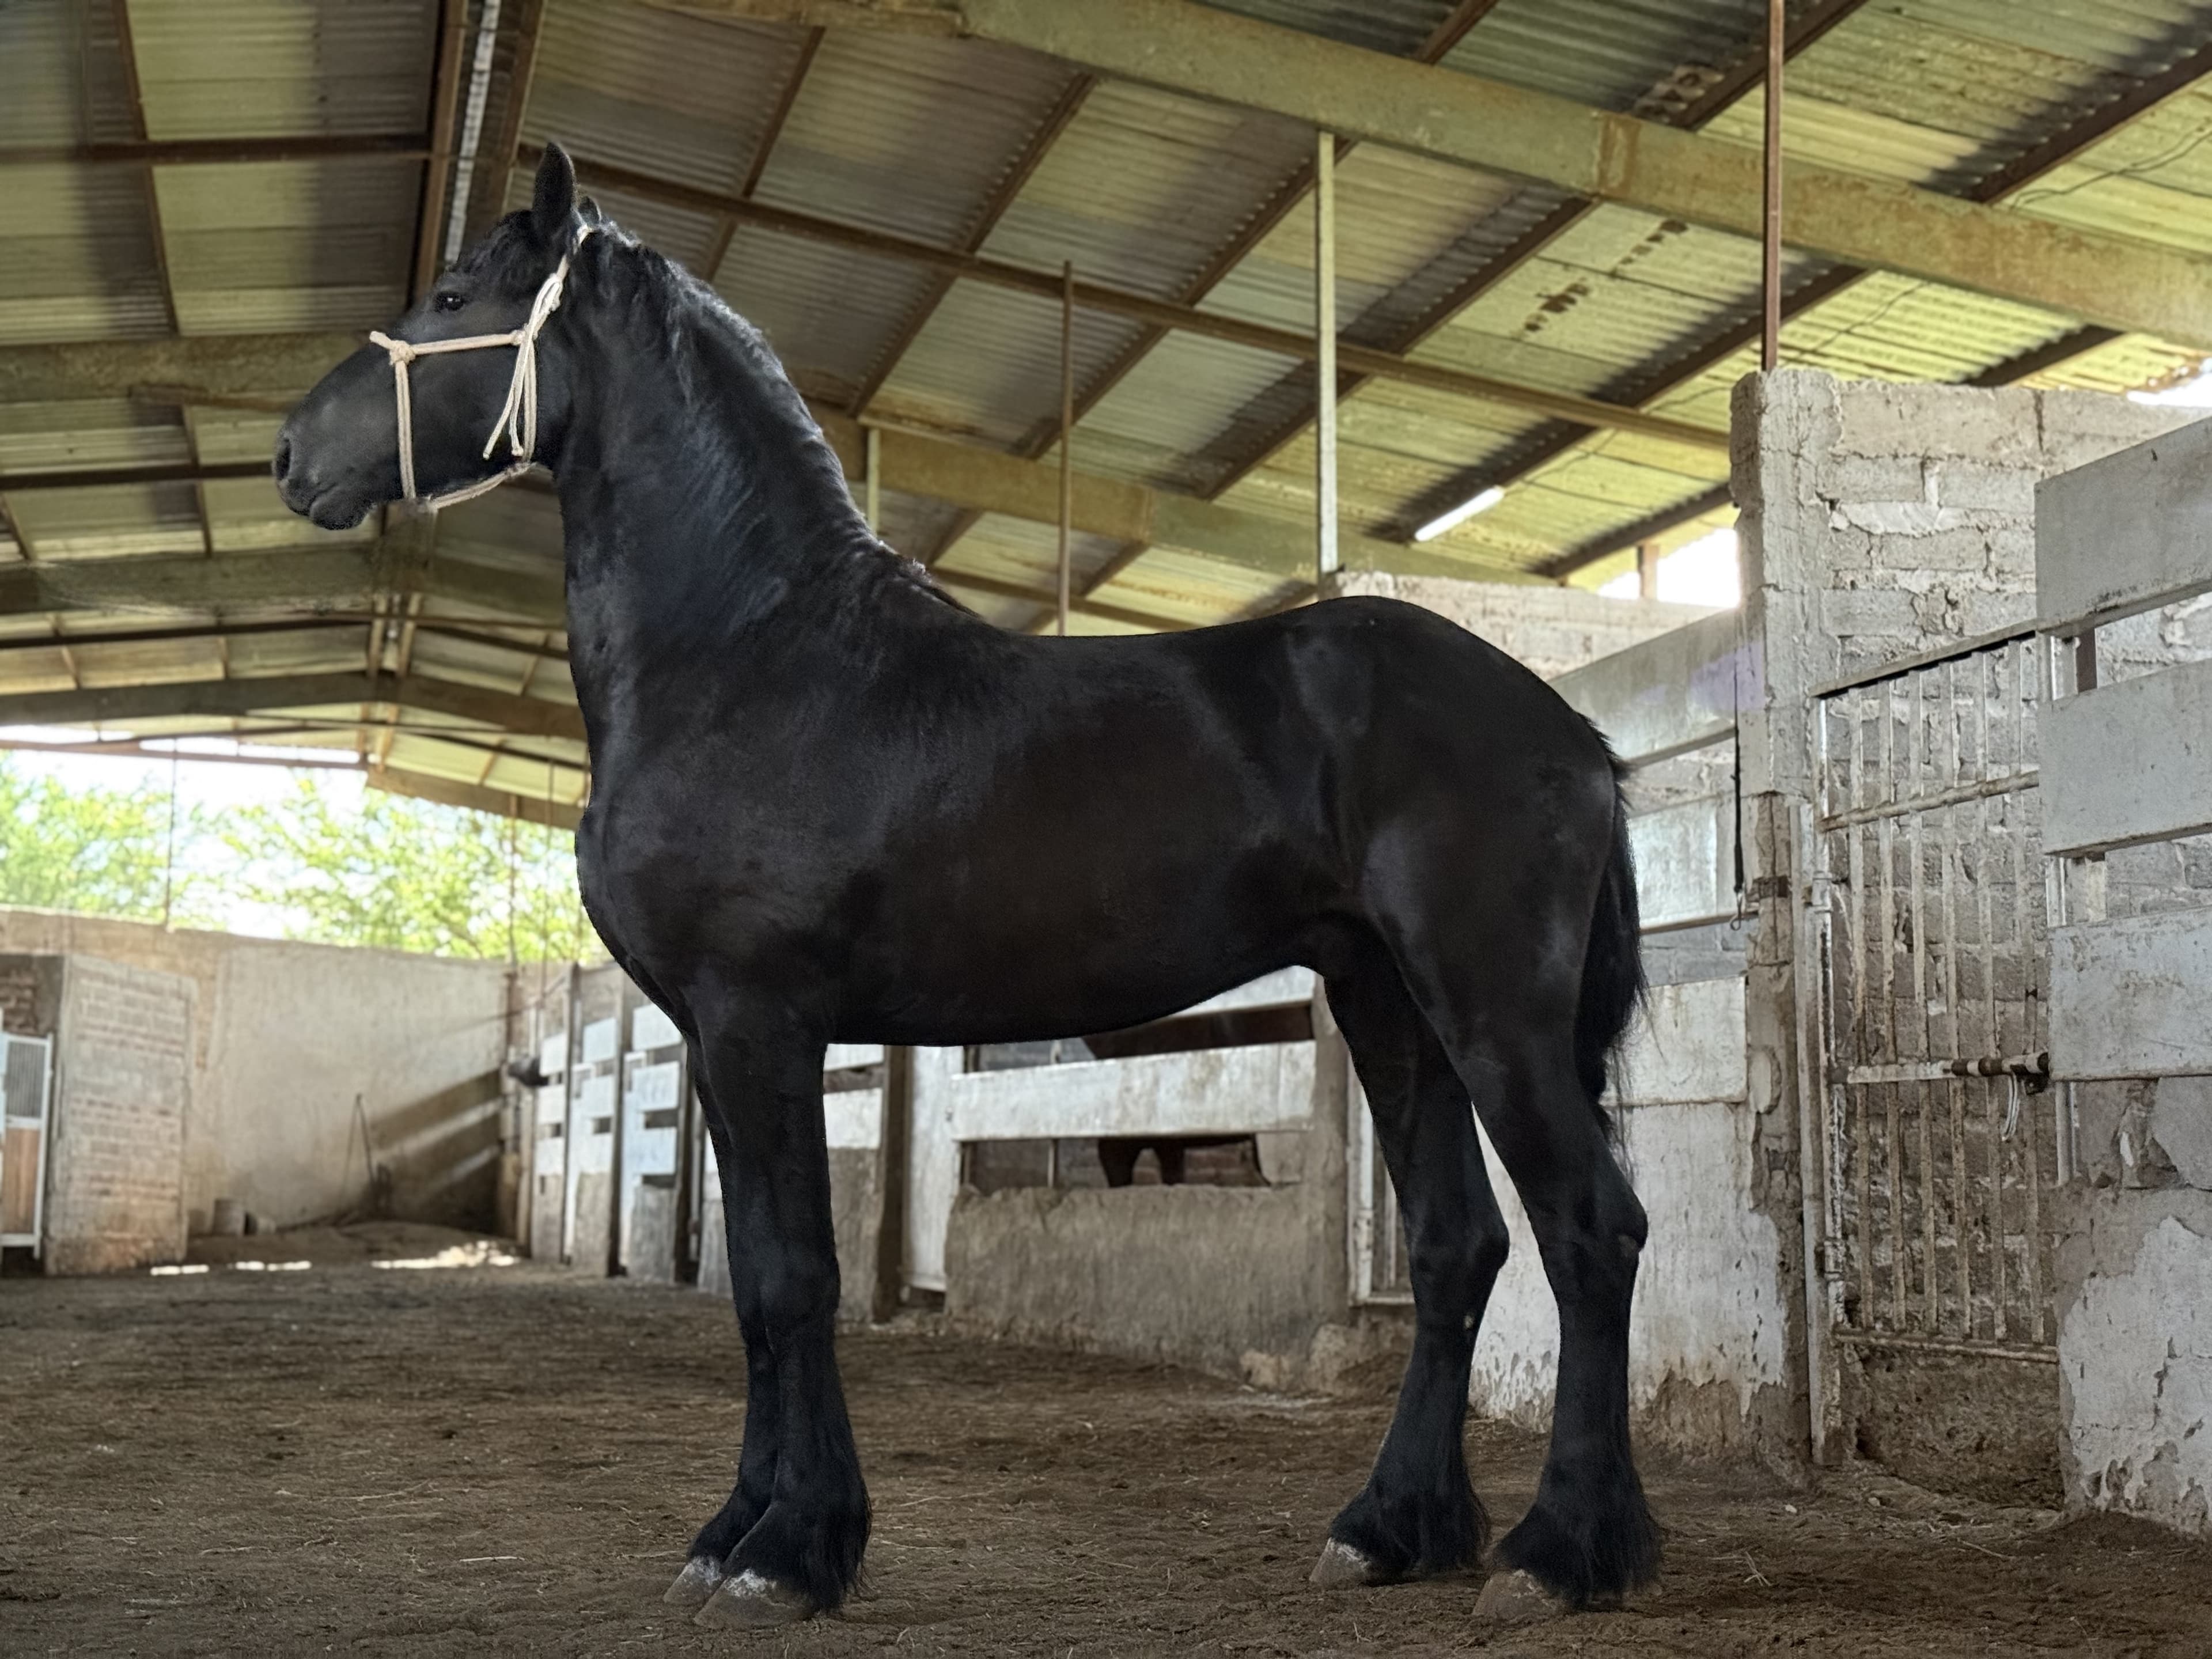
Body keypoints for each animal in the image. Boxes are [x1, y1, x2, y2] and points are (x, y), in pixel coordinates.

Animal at [275, 142, 1660, 1630]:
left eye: (452, 297)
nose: (290, 454)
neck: (750, 653)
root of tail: (1571, 730)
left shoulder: (760, 1020)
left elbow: (792, 1278)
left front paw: (787, 1549)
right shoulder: (717, 1039)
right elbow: (757, 1287)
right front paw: (746, 1530)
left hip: (1490, 1013)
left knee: (1591, 1231)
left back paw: (1560, 1551)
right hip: (1386, 1003)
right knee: (1457, 1245)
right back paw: (1391, 1528)